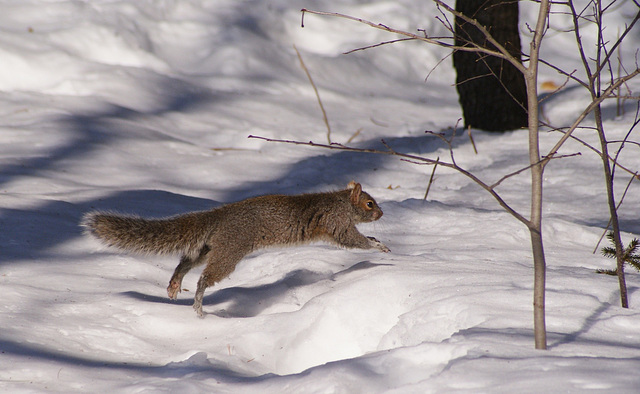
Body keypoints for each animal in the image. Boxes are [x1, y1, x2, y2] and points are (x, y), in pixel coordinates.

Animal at [82, 182, 388, 318]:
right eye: (369, 203)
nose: (382, 214)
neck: (341, 202)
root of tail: (219, 217)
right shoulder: (337, 223)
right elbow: (352, 240)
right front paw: (378, 245)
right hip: (230, 249)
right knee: (205, 277)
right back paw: (198, 305)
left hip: (209, 247)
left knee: (185, 263)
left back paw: (174, 285)